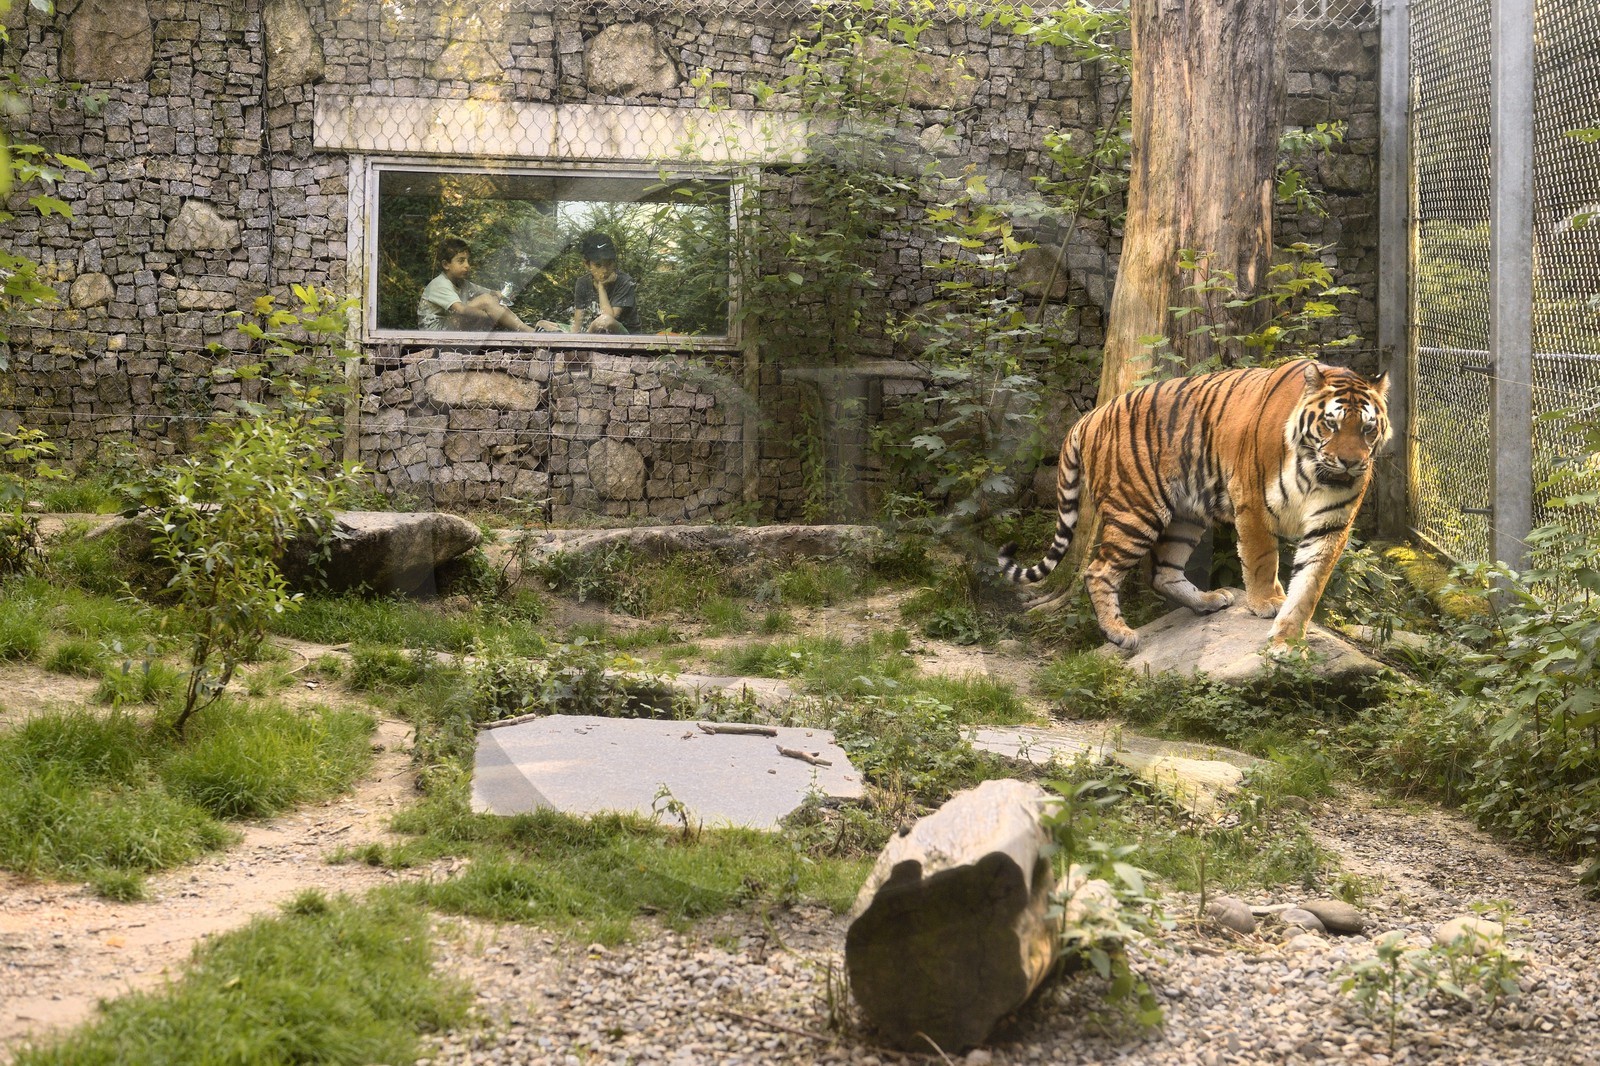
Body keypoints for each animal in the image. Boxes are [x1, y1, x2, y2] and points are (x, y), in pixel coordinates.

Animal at [997, 359, 1391, 652]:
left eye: (1368, 428)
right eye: (1331, 424)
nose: (1351, 463)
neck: (1316, 473)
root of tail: (1090, 415)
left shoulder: (1331, 524)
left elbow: (1310, 583)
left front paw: (1288, 637)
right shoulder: (1252, 504)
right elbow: (1262, 560)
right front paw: (1266, 602)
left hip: (1184, 518)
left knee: (1163, 573)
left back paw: (1207, 601)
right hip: (1137, 511)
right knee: (1099, 570)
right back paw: (1119, 633)